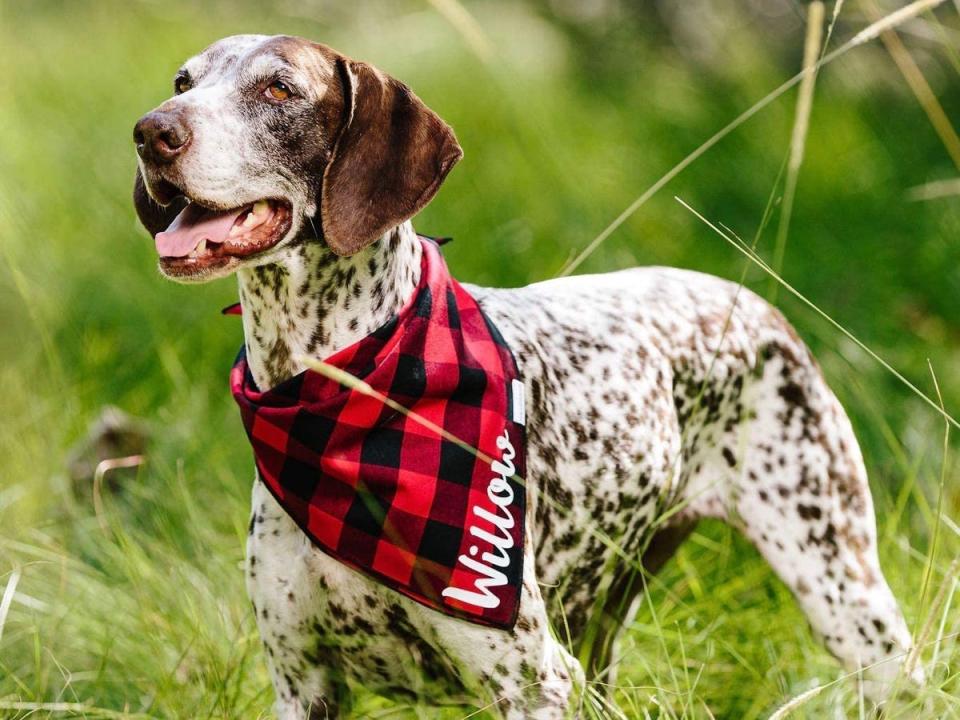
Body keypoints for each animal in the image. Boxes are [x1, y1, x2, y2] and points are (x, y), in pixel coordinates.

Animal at [131, 35, 920, 720]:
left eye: (278, 89)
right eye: (183, 81)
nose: (151, 131)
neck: (343, 387)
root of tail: (751, 299)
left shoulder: (530, 681)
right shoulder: (304, 685)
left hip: (842, 588)